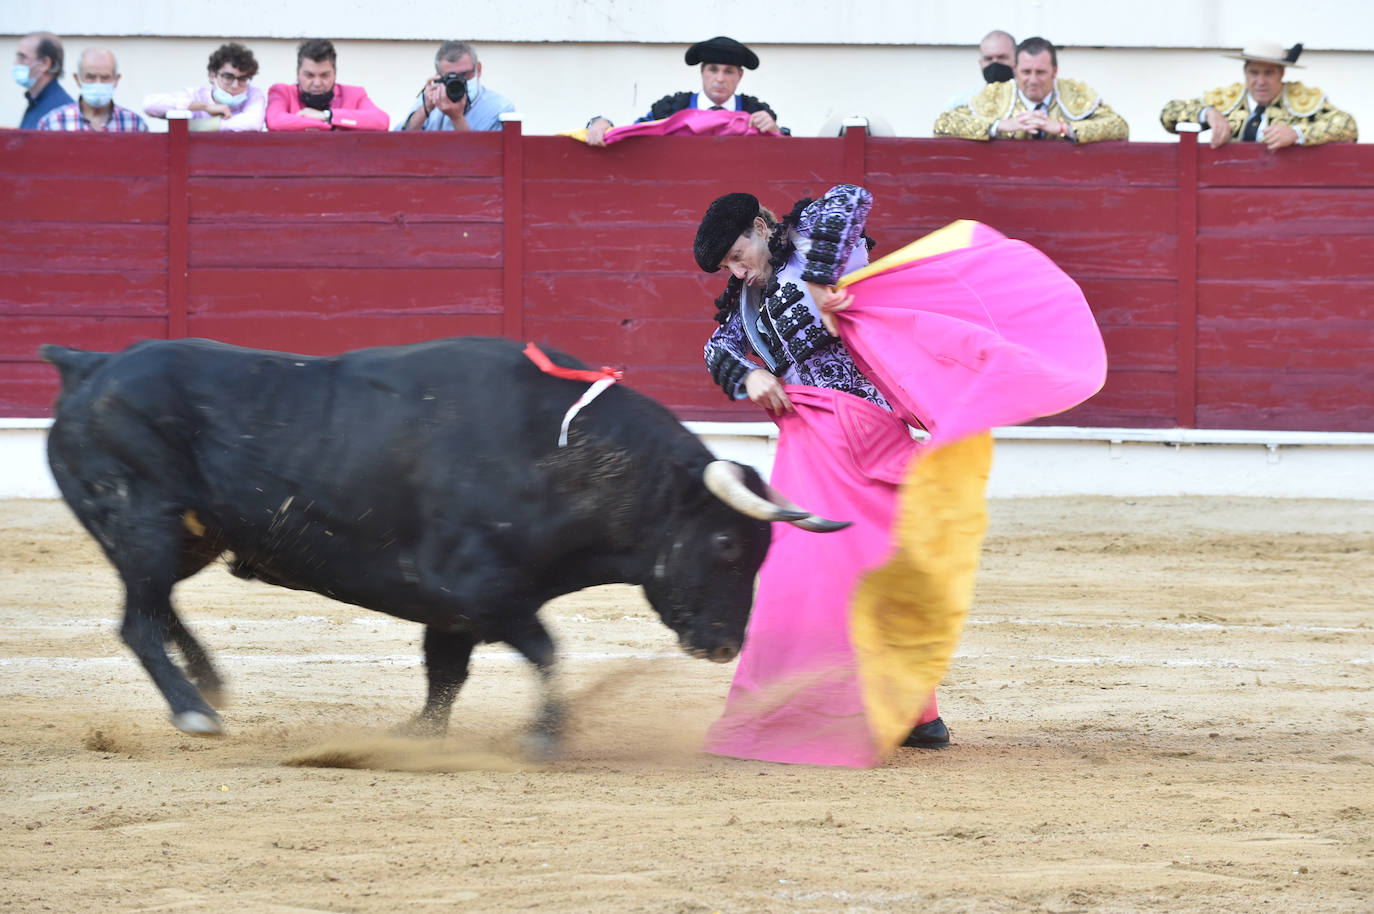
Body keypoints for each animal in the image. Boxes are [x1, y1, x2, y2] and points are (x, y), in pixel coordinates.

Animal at [40, 336, 846, 747]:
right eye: (729, 547)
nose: (725, 645)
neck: (557, 453)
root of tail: (90, 366)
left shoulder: (457, 609)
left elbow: (446, 675)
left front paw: (418, 737)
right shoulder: (479, 589)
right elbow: (544, 650)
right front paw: (545, 736)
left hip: (183, 536)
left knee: (156, 608)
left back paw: (208, 682)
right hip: (143, 518)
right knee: (137, 620)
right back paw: (195, 711)